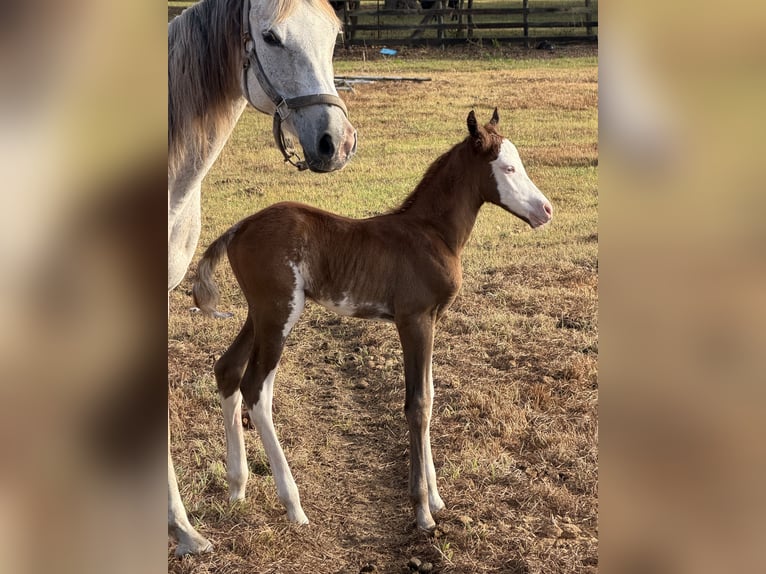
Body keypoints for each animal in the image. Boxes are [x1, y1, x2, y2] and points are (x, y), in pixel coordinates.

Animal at [191, 109, 553, 532]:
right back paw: (294, 506)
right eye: (508, 168)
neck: (431, 234)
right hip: (279, 312)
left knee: (227, 369)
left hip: (259, 312)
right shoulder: (413, 320)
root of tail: (239, 227)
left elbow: (431, 394)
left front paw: (437, 498)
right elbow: (418, 404)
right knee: (256, 389)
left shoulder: (432, 321)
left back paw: (237, 487)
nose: (545, 210)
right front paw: (422, 510)